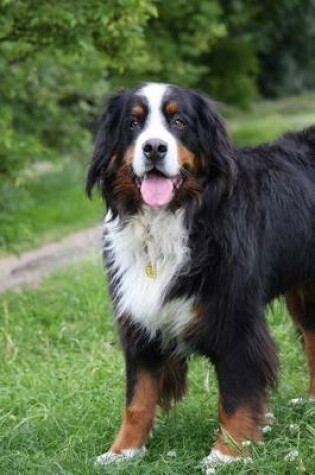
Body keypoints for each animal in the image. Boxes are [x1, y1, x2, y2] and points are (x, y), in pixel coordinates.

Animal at [86, 83, 315, 470]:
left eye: (179, 121)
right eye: (133, 124)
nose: (154, 148)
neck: (169, 220)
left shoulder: (235, 320)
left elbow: (236, 396)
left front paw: (227, 454)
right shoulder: (139, 318)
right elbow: (137, 398)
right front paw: (122, 452)